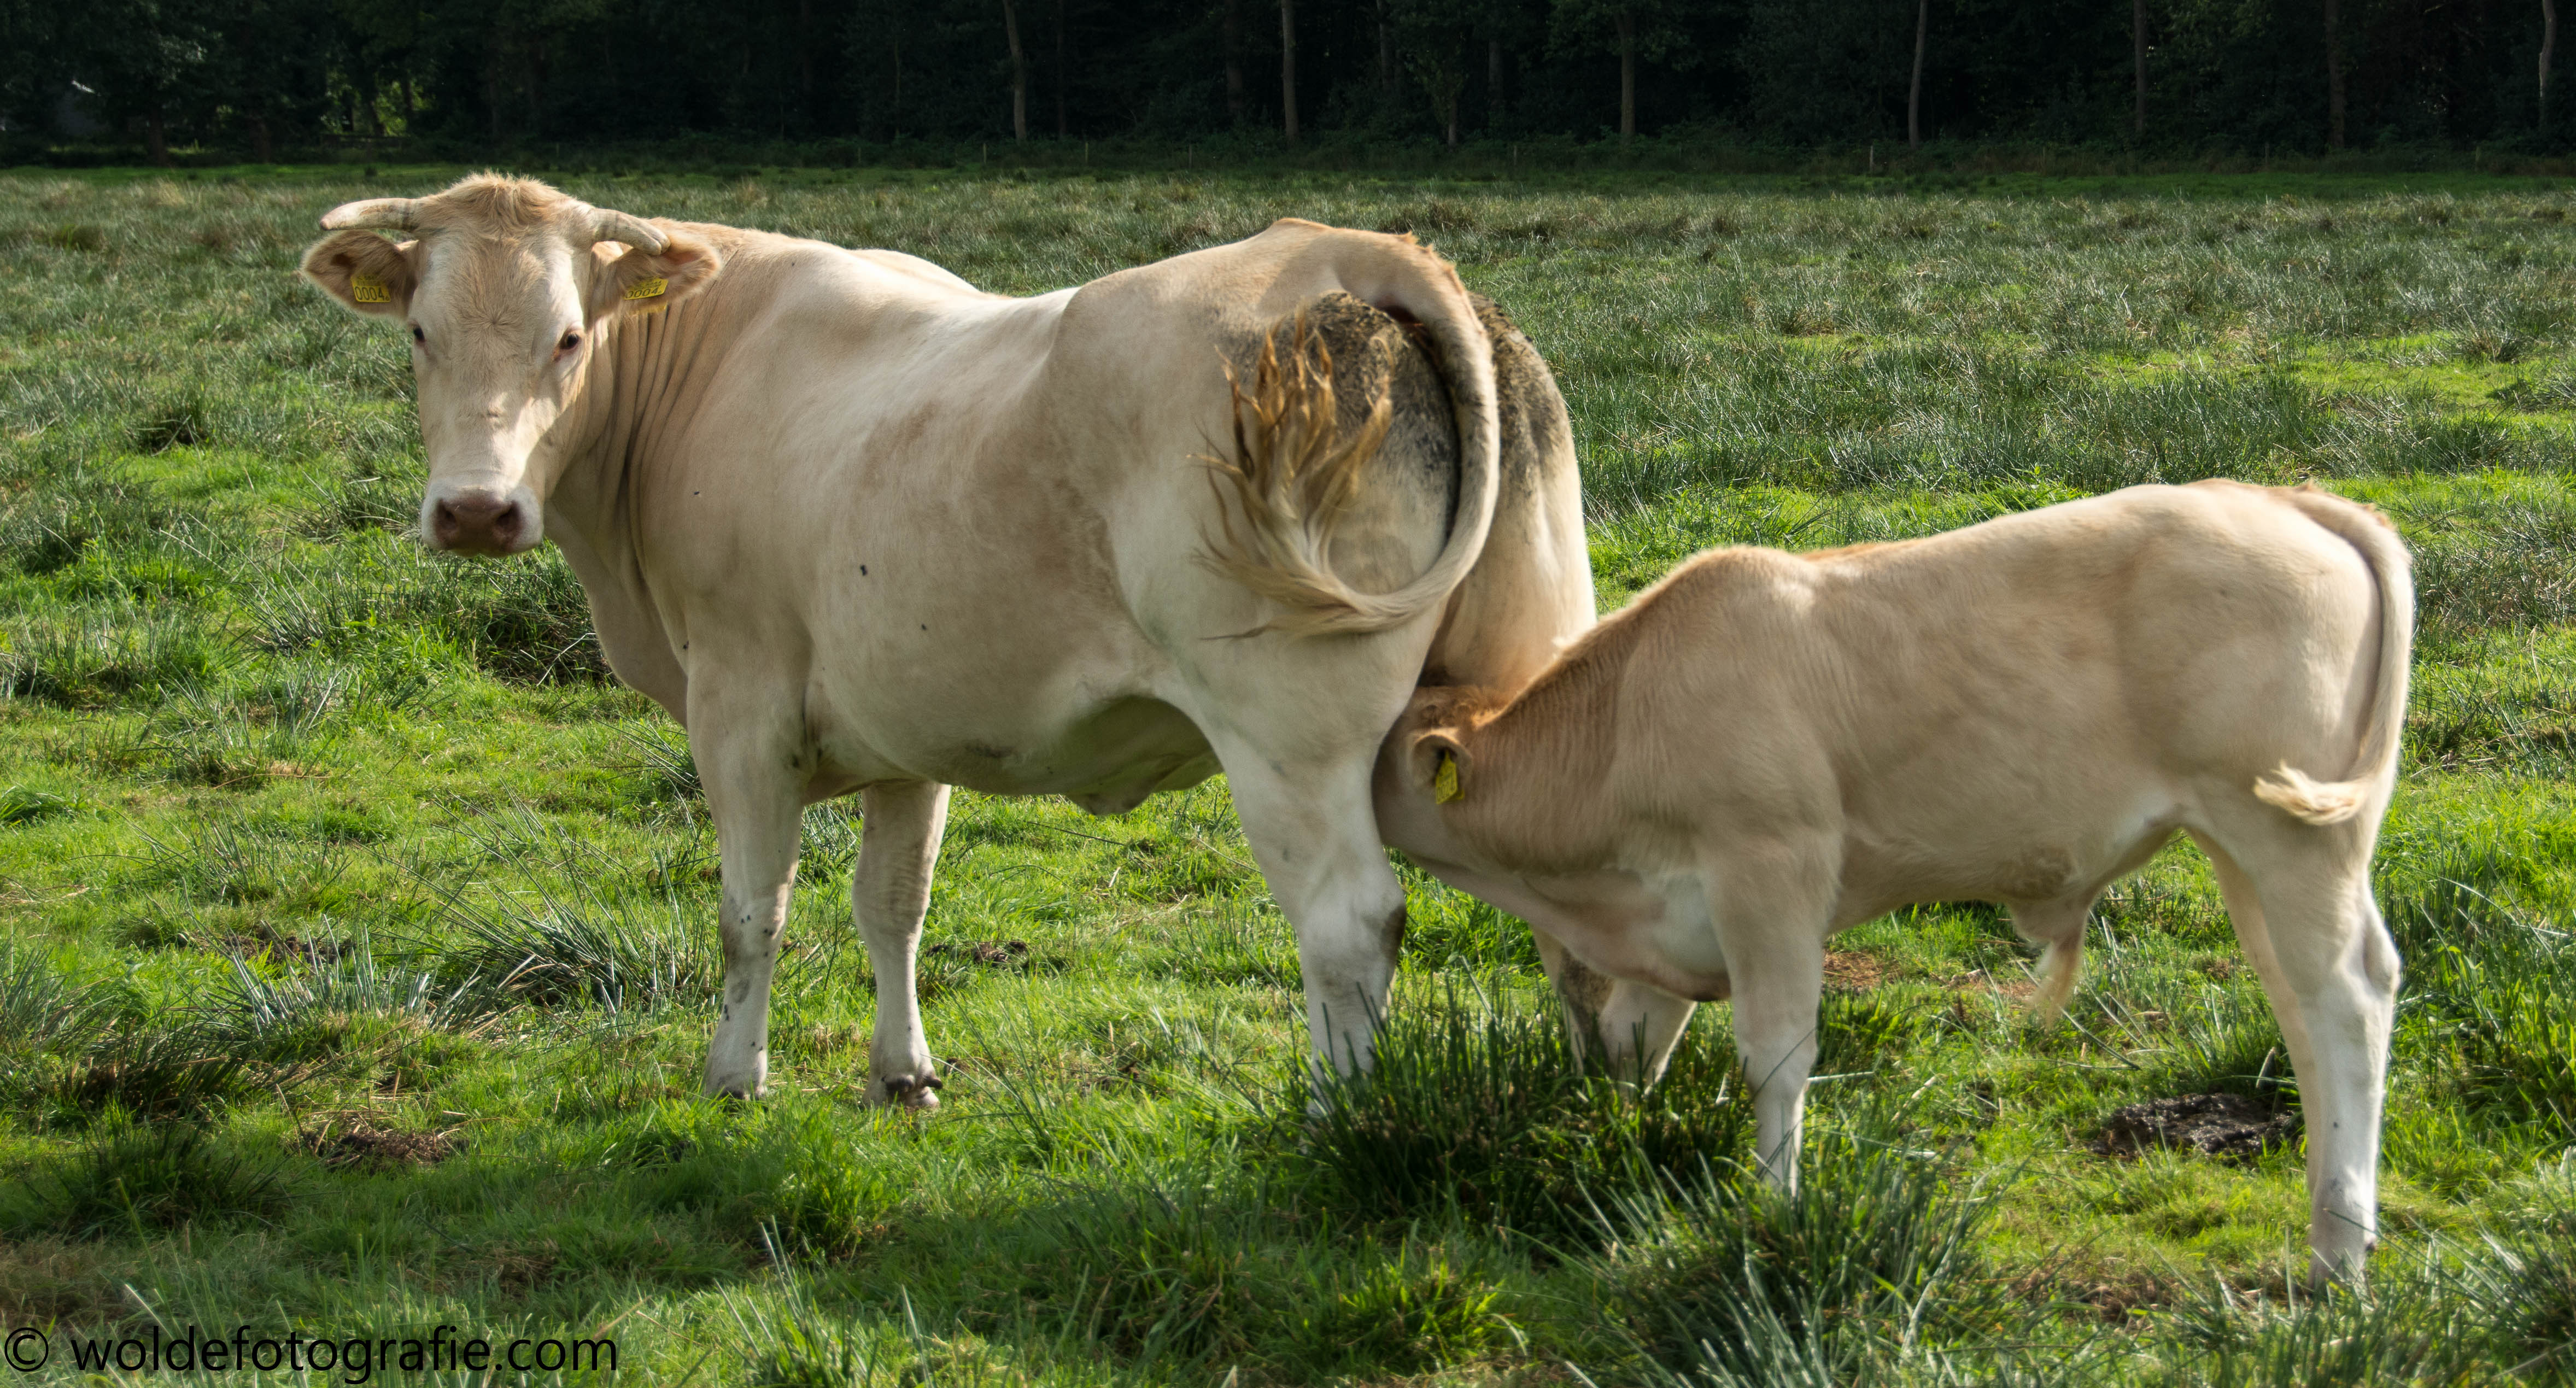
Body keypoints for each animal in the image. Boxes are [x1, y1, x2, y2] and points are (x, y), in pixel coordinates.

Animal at [298, 175, 1598, 1106]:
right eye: (419, 333)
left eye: (569, 339)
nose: (475, 511)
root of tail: (1341, 251)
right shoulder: (905, 724)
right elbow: (893, 902)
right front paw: (903, 1069)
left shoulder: (740, 707)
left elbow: (751, 910)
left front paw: (734, 1076)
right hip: (1538, 674)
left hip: (1288, 732)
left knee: (1347, 925)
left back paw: (1339, 1121)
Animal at [1370, 480, 2412, 1285]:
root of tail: (2285, 499)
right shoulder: (1677, 914)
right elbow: (1633, 1042)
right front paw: (1616, 1149)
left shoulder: (1771, 870)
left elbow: (1776, 1055)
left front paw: (1775, 1213)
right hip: (2244, 847)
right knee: (2300, 1005)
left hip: (2290, 832)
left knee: (2348, 996)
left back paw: (2339, 1254)